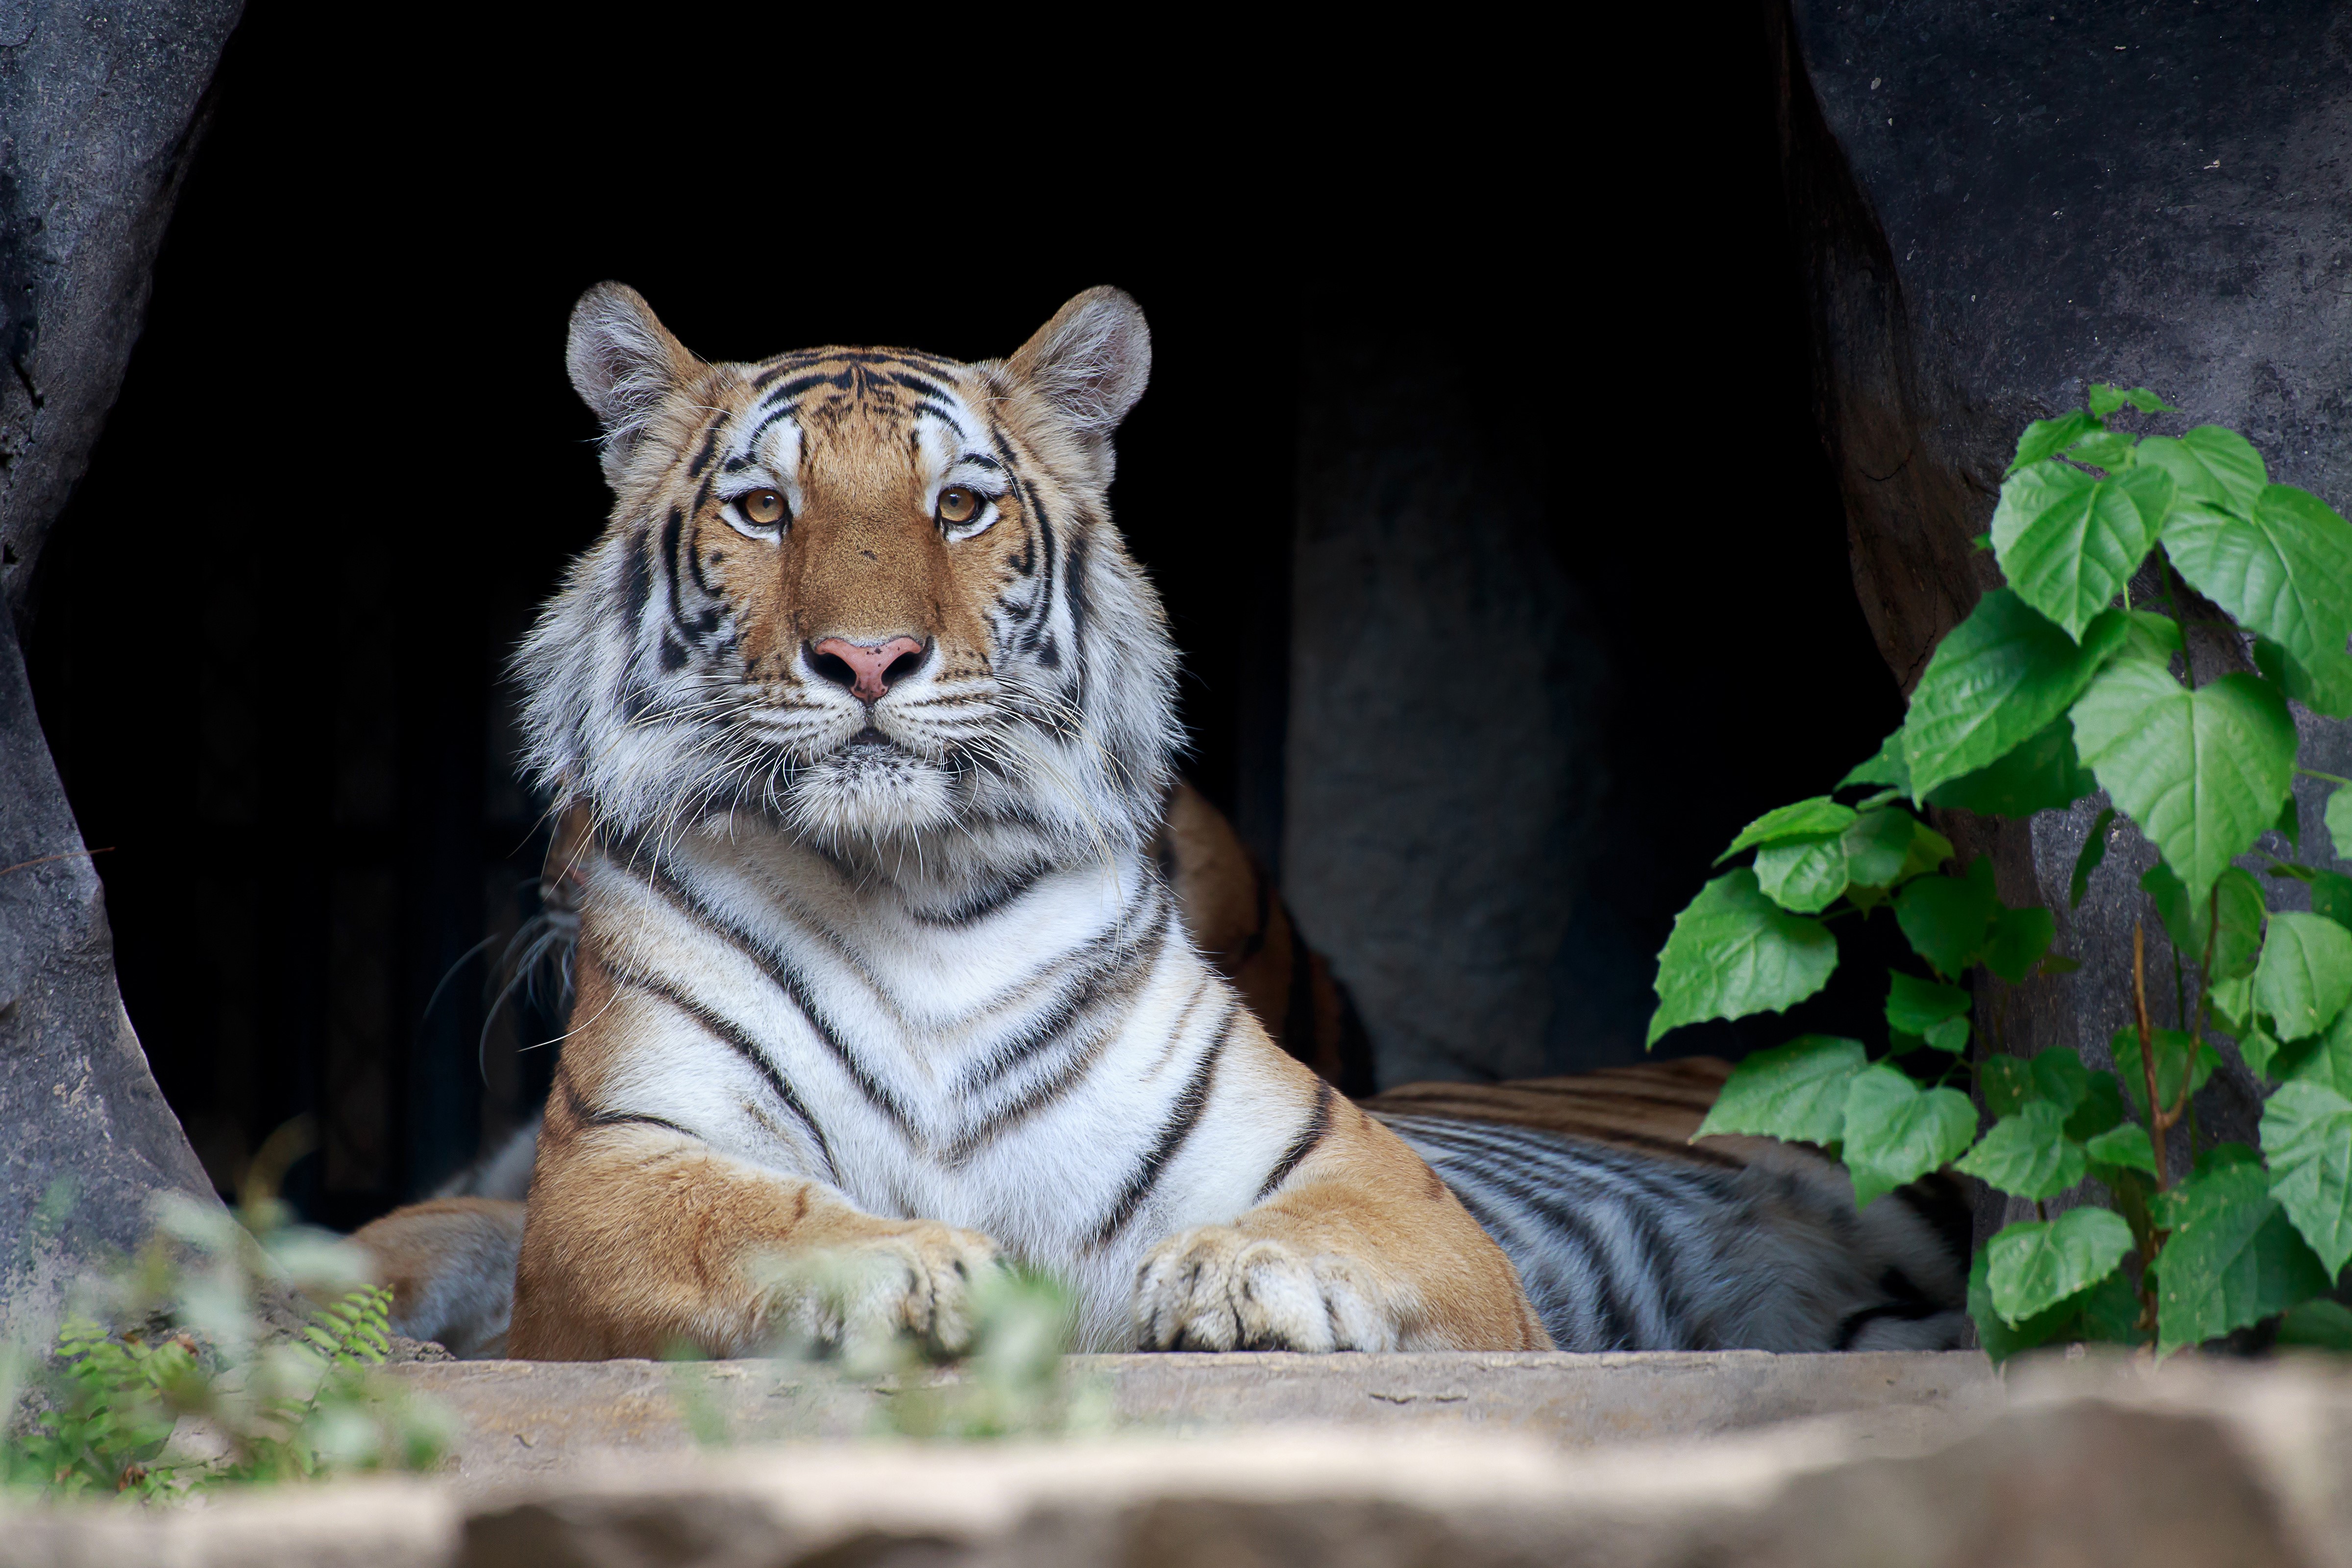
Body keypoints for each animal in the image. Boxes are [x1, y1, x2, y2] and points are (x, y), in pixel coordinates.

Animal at [352, 283, 1971, 1362]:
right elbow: (748, 1220)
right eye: (762, 510)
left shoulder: (1367, 1173)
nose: (870, 659)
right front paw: (919, 1274)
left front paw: (1236, 1283)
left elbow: (1336, 1225)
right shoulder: (617, 1167)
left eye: (958, 508)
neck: (907, 888)